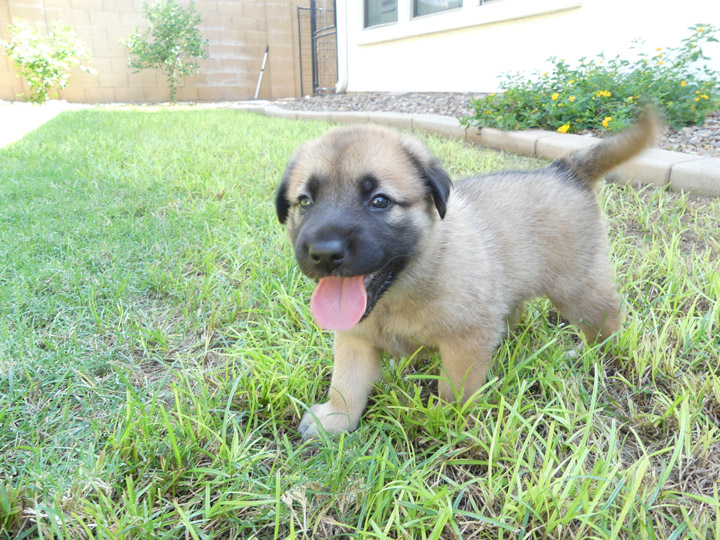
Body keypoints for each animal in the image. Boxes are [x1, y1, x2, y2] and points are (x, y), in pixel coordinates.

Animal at [276, 115, 660, 438]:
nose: (324, 253)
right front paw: (335, 420)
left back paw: (594, 354)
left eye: (379, 201)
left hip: (575, 287)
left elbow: (455, 389)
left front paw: (449, 420)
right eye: (305, 201)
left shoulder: (466, 339)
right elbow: (346, 383)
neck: (400, 290)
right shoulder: (355, 338)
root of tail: (564, 169)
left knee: (607, 317)